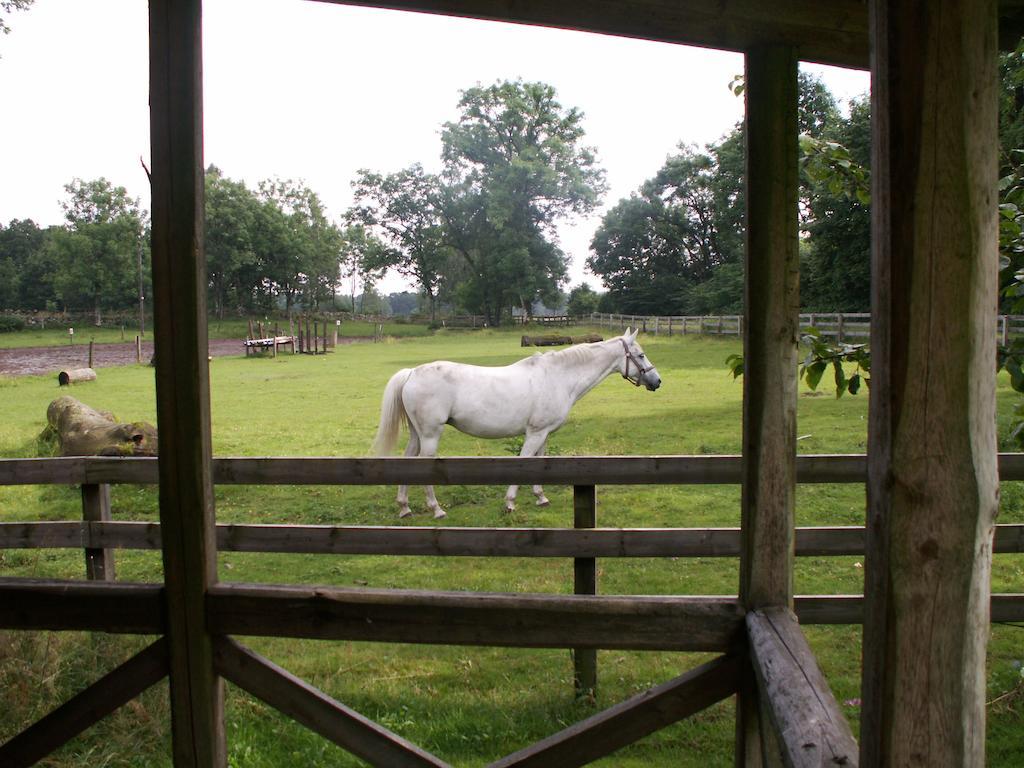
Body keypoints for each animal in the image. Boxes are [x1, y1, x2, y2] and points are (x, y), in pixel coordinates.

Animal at [372, 327, 659, 520]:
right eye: (641, 355)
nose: (657, 381)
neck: (558, 377)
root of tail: (411, 373)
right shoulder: (535, 433)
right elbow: (525, 462)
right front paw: (510, 503)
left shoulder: (544, 434)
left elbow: (539, 463)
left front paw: (541, 497)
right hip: (431, 435)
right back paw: (437, 510)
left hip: (417, 435)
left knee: (408, 461)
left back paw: (405, 508)